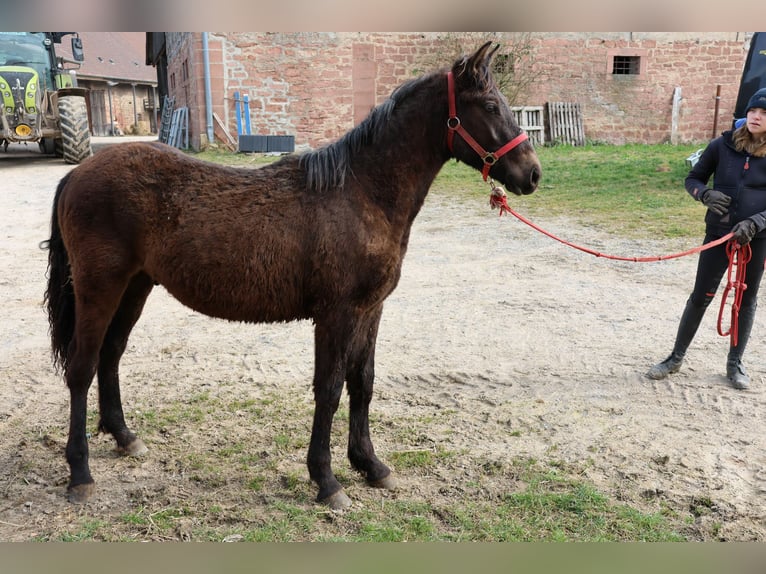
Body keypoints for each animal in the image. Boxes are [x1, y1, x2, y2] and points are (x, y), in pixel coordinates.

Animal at [45, 46, 544, 512]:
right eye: (491, 106)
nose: (533, 174)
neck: (359, 192)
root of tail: (76, 174)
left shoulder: (371, 309)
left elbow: (363, 382)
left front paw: (371, 465)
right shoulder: (336, 314)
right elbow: (330, 389)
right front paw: (327, 481)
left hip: (136, 286)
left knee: (110, 355)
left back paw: (124, 437)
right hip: (100, 287)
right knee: (82, 367)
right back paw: (81, 473)